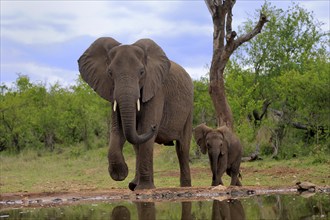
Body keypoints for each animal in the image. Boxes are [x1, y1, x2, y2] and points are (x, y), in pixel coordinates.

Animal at [78, 37, 193, 191]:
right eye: (110, 73)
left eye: (142, 72)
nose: (154, 127)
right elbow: (118, 130)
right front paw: (121, 174)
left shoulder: (156, 90)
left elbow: (143, 129)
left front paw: (143, 188)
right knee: (137, 143)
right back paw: (134, 184)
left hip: (189, 109)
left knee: (182, 148)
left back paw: (185, 187)